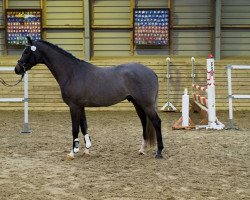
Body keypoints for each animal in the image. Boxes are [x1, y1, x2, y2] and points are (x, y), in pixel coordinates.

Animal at [15, 36, 164, 159]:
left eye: (26, 52)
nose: (17, 69)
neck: (72, 73)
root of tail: (151, 72)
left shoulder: (74, 106)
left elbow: (75, 128)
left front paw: (72, 152)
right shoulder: (80, 106)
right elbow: (84, 127)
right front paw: (86, 149)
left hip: (146, 104)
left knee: (156, 122)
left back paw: (159, 152)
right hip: (137, 103)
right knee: (144, 122)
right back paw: (142, 149)